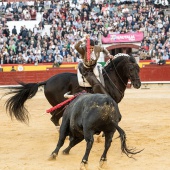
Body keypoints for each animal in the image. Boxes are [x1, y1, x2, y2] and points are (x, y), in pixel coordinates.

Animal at [4, 53, 141, 125]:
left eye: (138, 68)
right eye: (130, 69)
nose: (138, 84)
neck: (110, 79)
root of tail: (47, 81)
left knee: (54, 117)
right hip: (61, 105)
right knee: (54, 118)